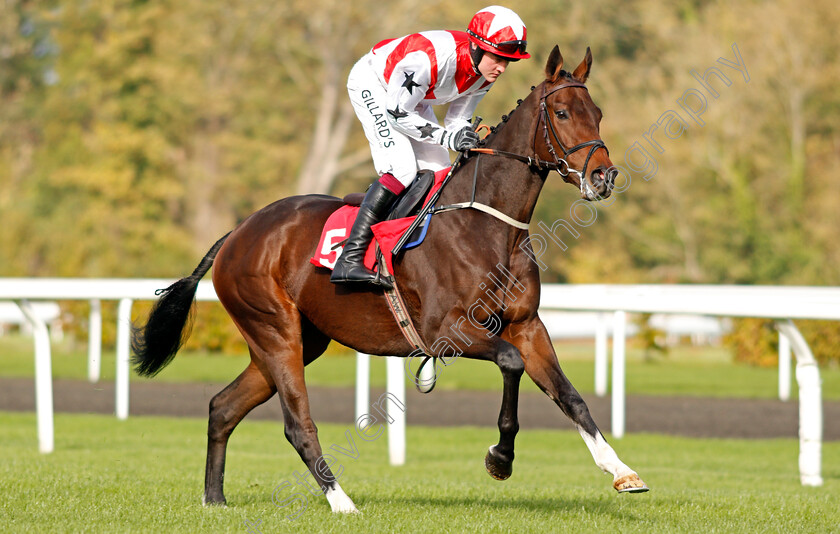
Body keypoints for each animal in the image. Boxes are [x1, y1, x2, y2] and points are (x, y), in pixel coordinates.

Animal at [133, 47, 648, 516]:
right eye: (562, 113)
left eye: (597, 114)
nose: (604, 176)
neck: (487, 225)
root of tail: (238, 233)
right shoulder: (447, 333)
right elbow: (510, 363)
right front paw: (500, 458)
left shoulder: (527, 326)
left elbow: (571, 397)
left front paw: (622, 470)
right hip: (274, 332)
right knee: (297, 424)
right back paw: (342, 502)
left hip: (297, 340)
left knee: (222, 407)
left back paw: (215, 499)